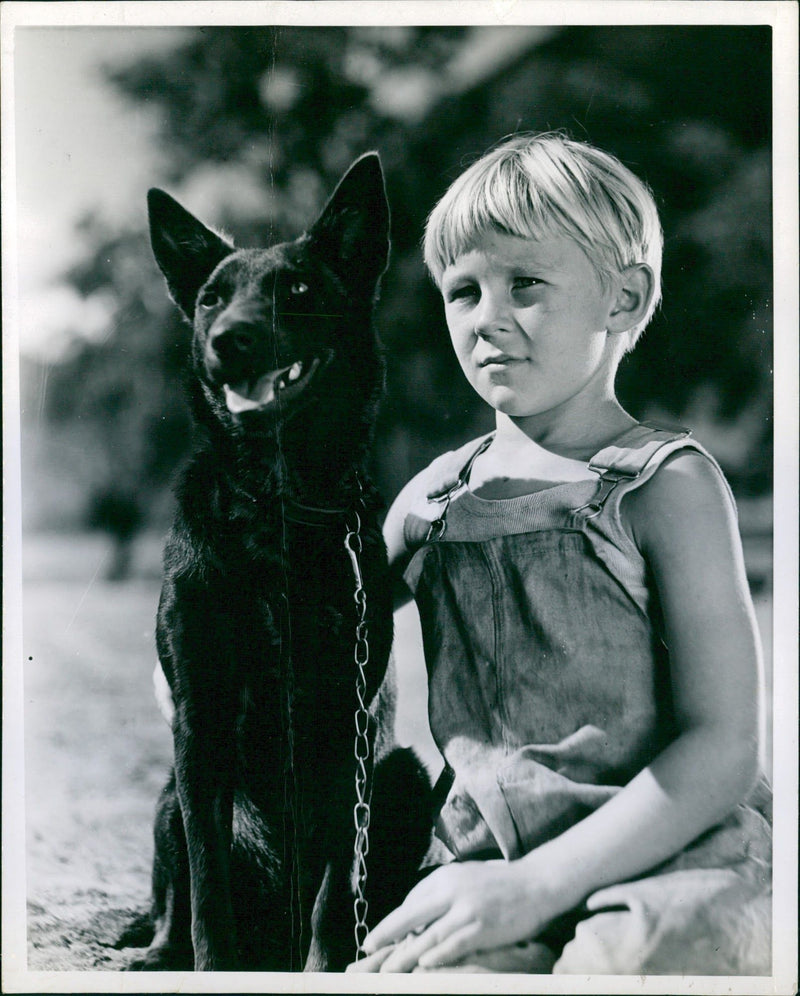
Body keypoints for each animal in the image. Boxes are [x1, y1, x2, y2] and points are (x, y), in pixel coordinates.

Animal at [126, 158, 434, 972]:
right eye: (210, 298)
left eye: (296, 290)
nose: (228, 340)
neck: (273, 508)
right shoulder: (199, 723)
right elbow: (207, 886)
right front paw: (210, 966)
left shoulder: (342, 729)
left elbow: (333, 891)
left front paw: (328, 967)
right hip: (166, 796)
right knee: (172, 897)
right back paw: (158, 952)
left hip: (402, 778)